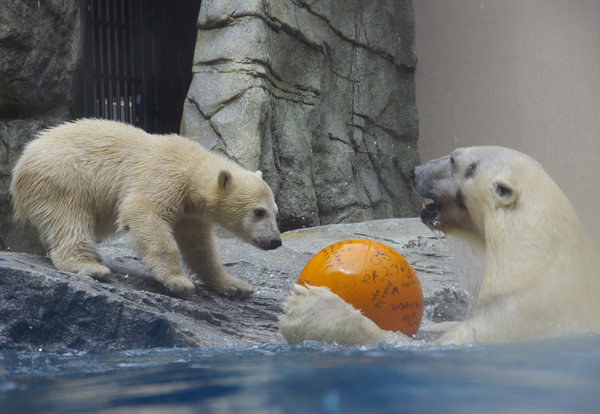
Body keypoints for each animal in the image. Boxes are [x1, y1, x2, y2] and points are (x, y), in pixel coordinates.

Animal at [9, 119, 282, 298]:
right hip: (65, 175)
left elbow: (199, 246)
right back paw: (89, 265)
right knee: (70, 215)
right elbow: (143, 213)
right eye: (259, 211)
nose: (275, 241)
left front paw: (235, 285)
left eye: (275, 211)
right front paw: (178, 281)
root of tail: (22, 162)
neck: (192, 167)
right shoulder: (164, 177)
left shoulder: (190, 212)